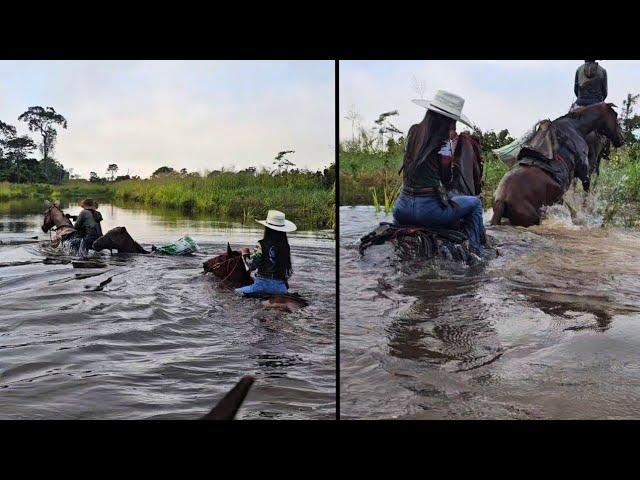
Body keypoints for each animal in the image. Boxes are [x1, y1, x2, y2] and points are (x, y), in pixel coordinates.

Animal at [490, 103, 624, 227]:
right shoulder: (584, 172)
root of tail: (501, 201)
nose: (622, 140)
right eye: (616, 117)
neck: (576, 127)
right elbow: (586, 191)